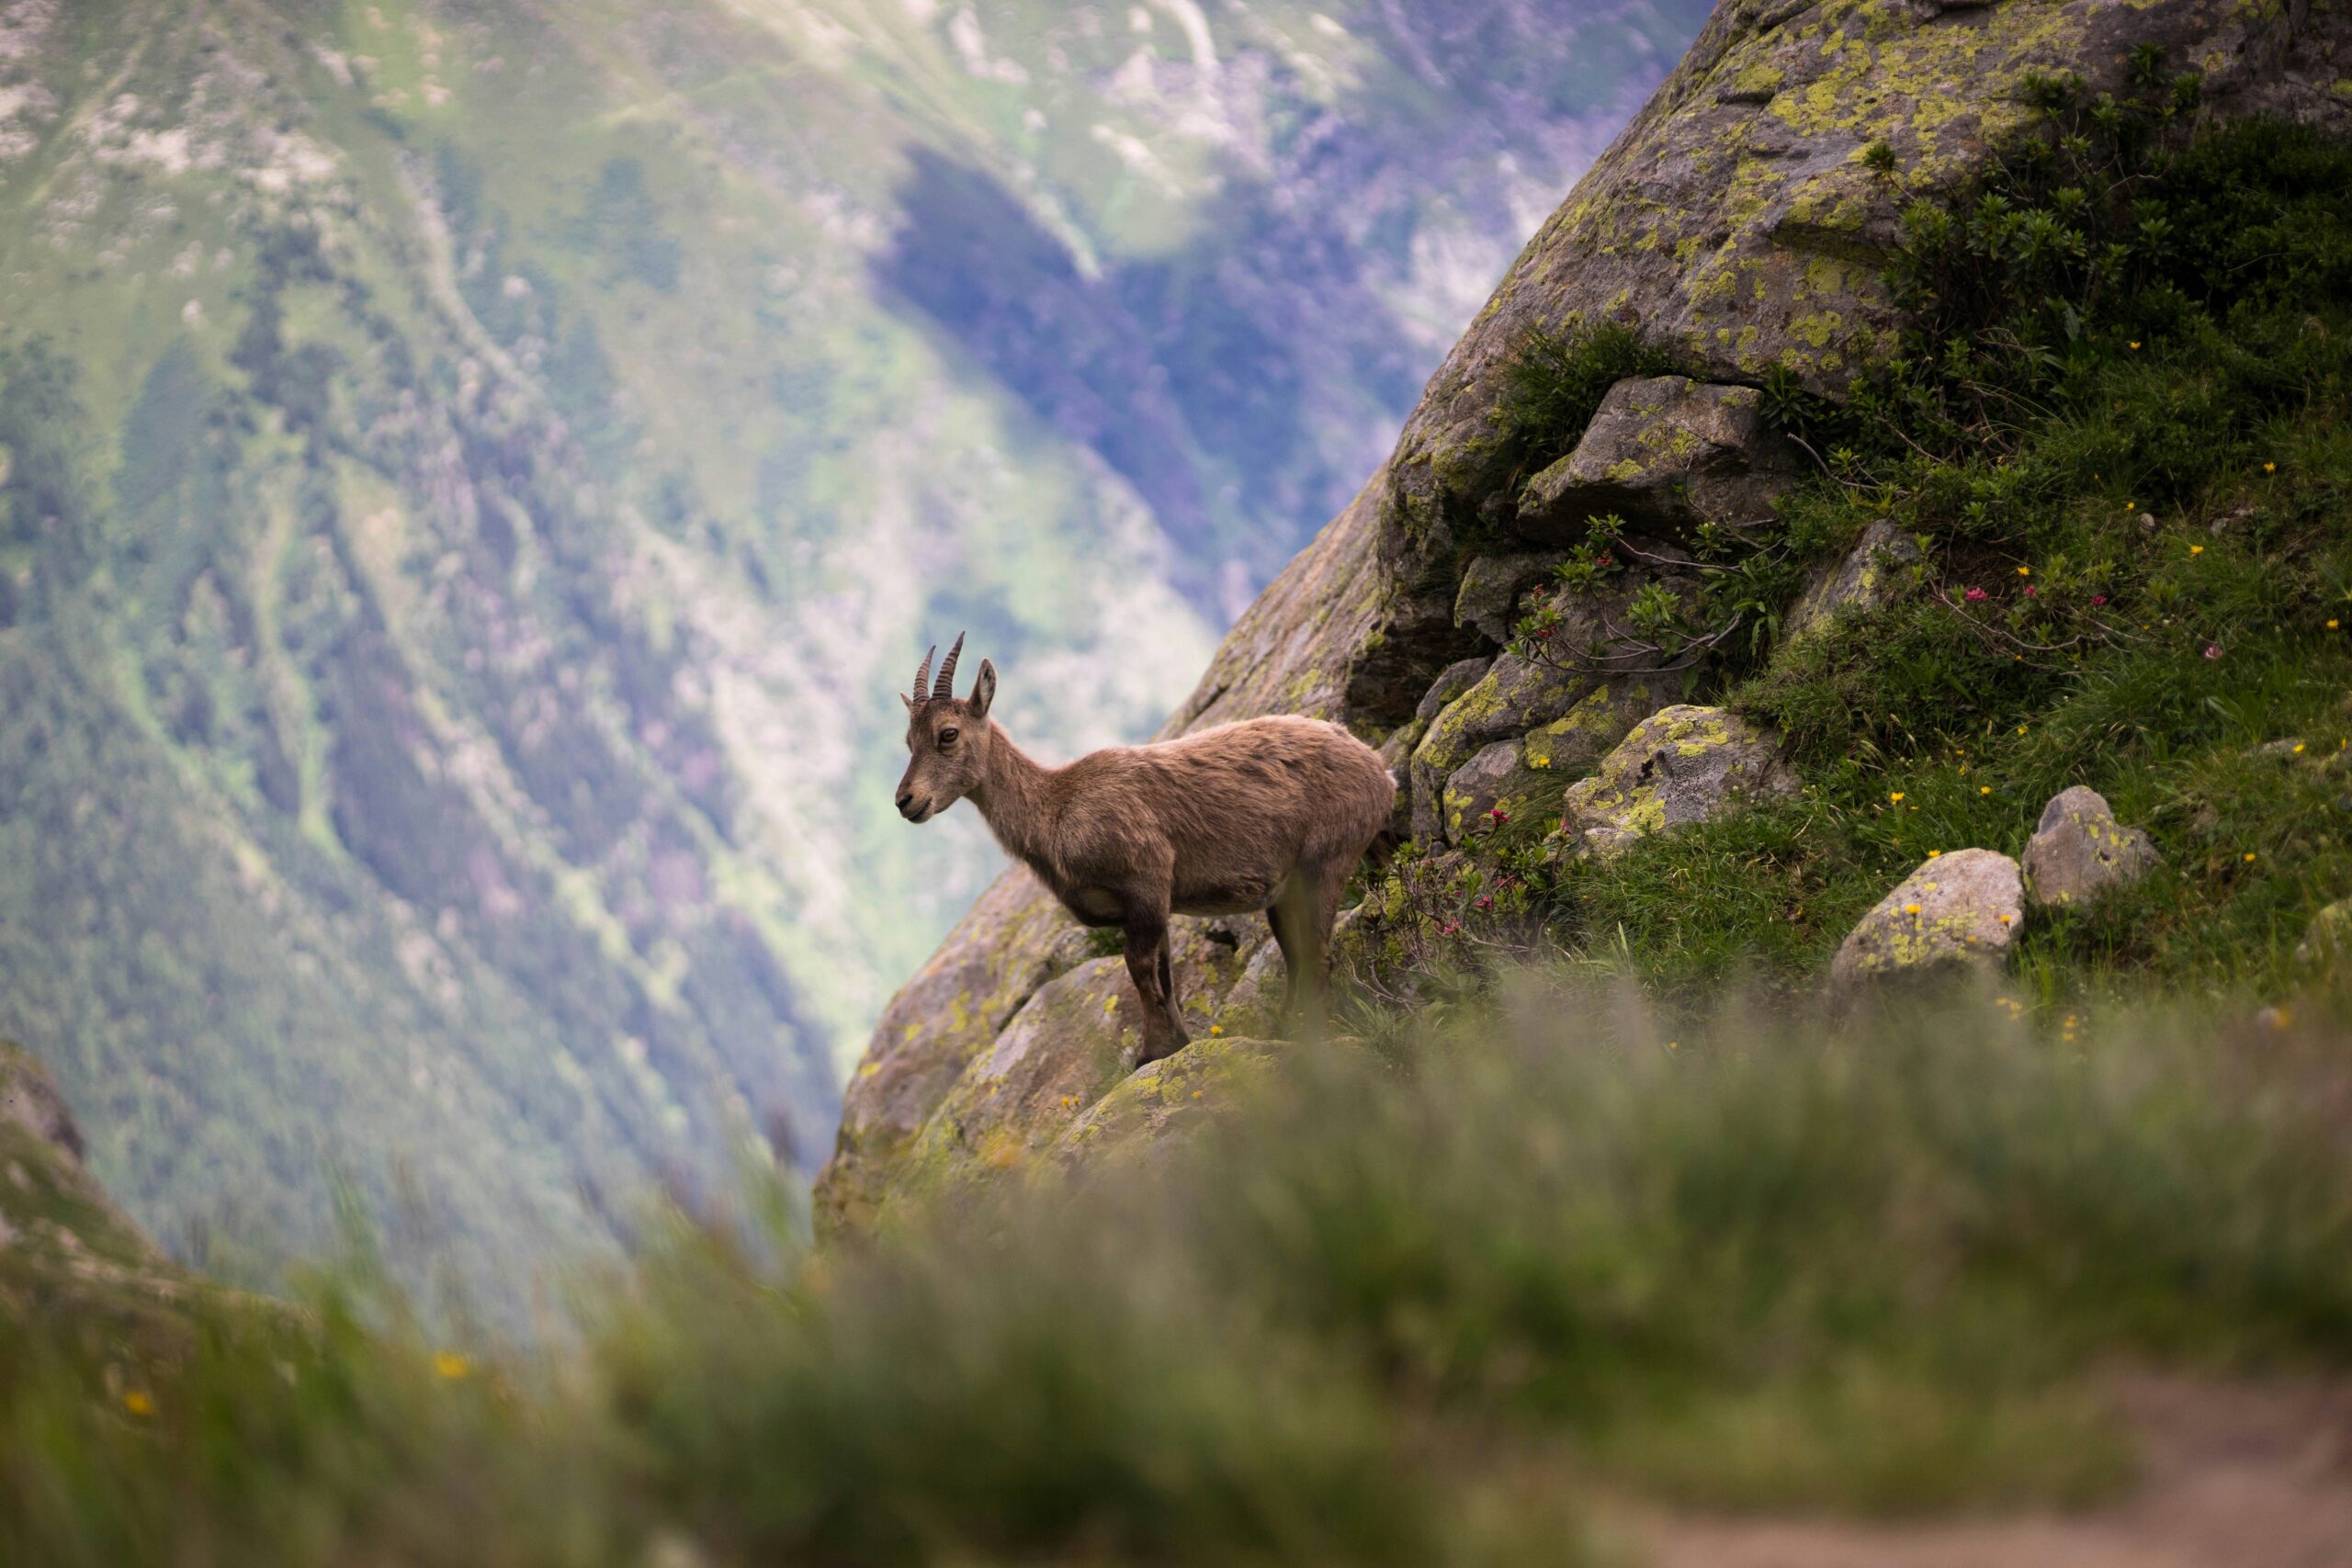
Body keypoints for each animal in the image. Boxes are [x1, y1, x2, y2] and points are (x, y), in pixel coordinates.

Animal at [895, 634, 1397, 1065]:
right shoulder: (1144, 909)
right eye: (908, 740)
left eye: (948, 733)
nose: (905, 801)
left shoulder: (1148, 882)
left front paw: (1153, 1050)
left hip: (1325, 861)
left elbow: (1138, 967)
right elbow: (1164, 973)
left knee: (1316, 956)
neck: (1057, 810)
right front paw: (1174, 1041)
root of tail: (1381, 771)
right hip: (1288, 891)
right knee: (1298, 957)